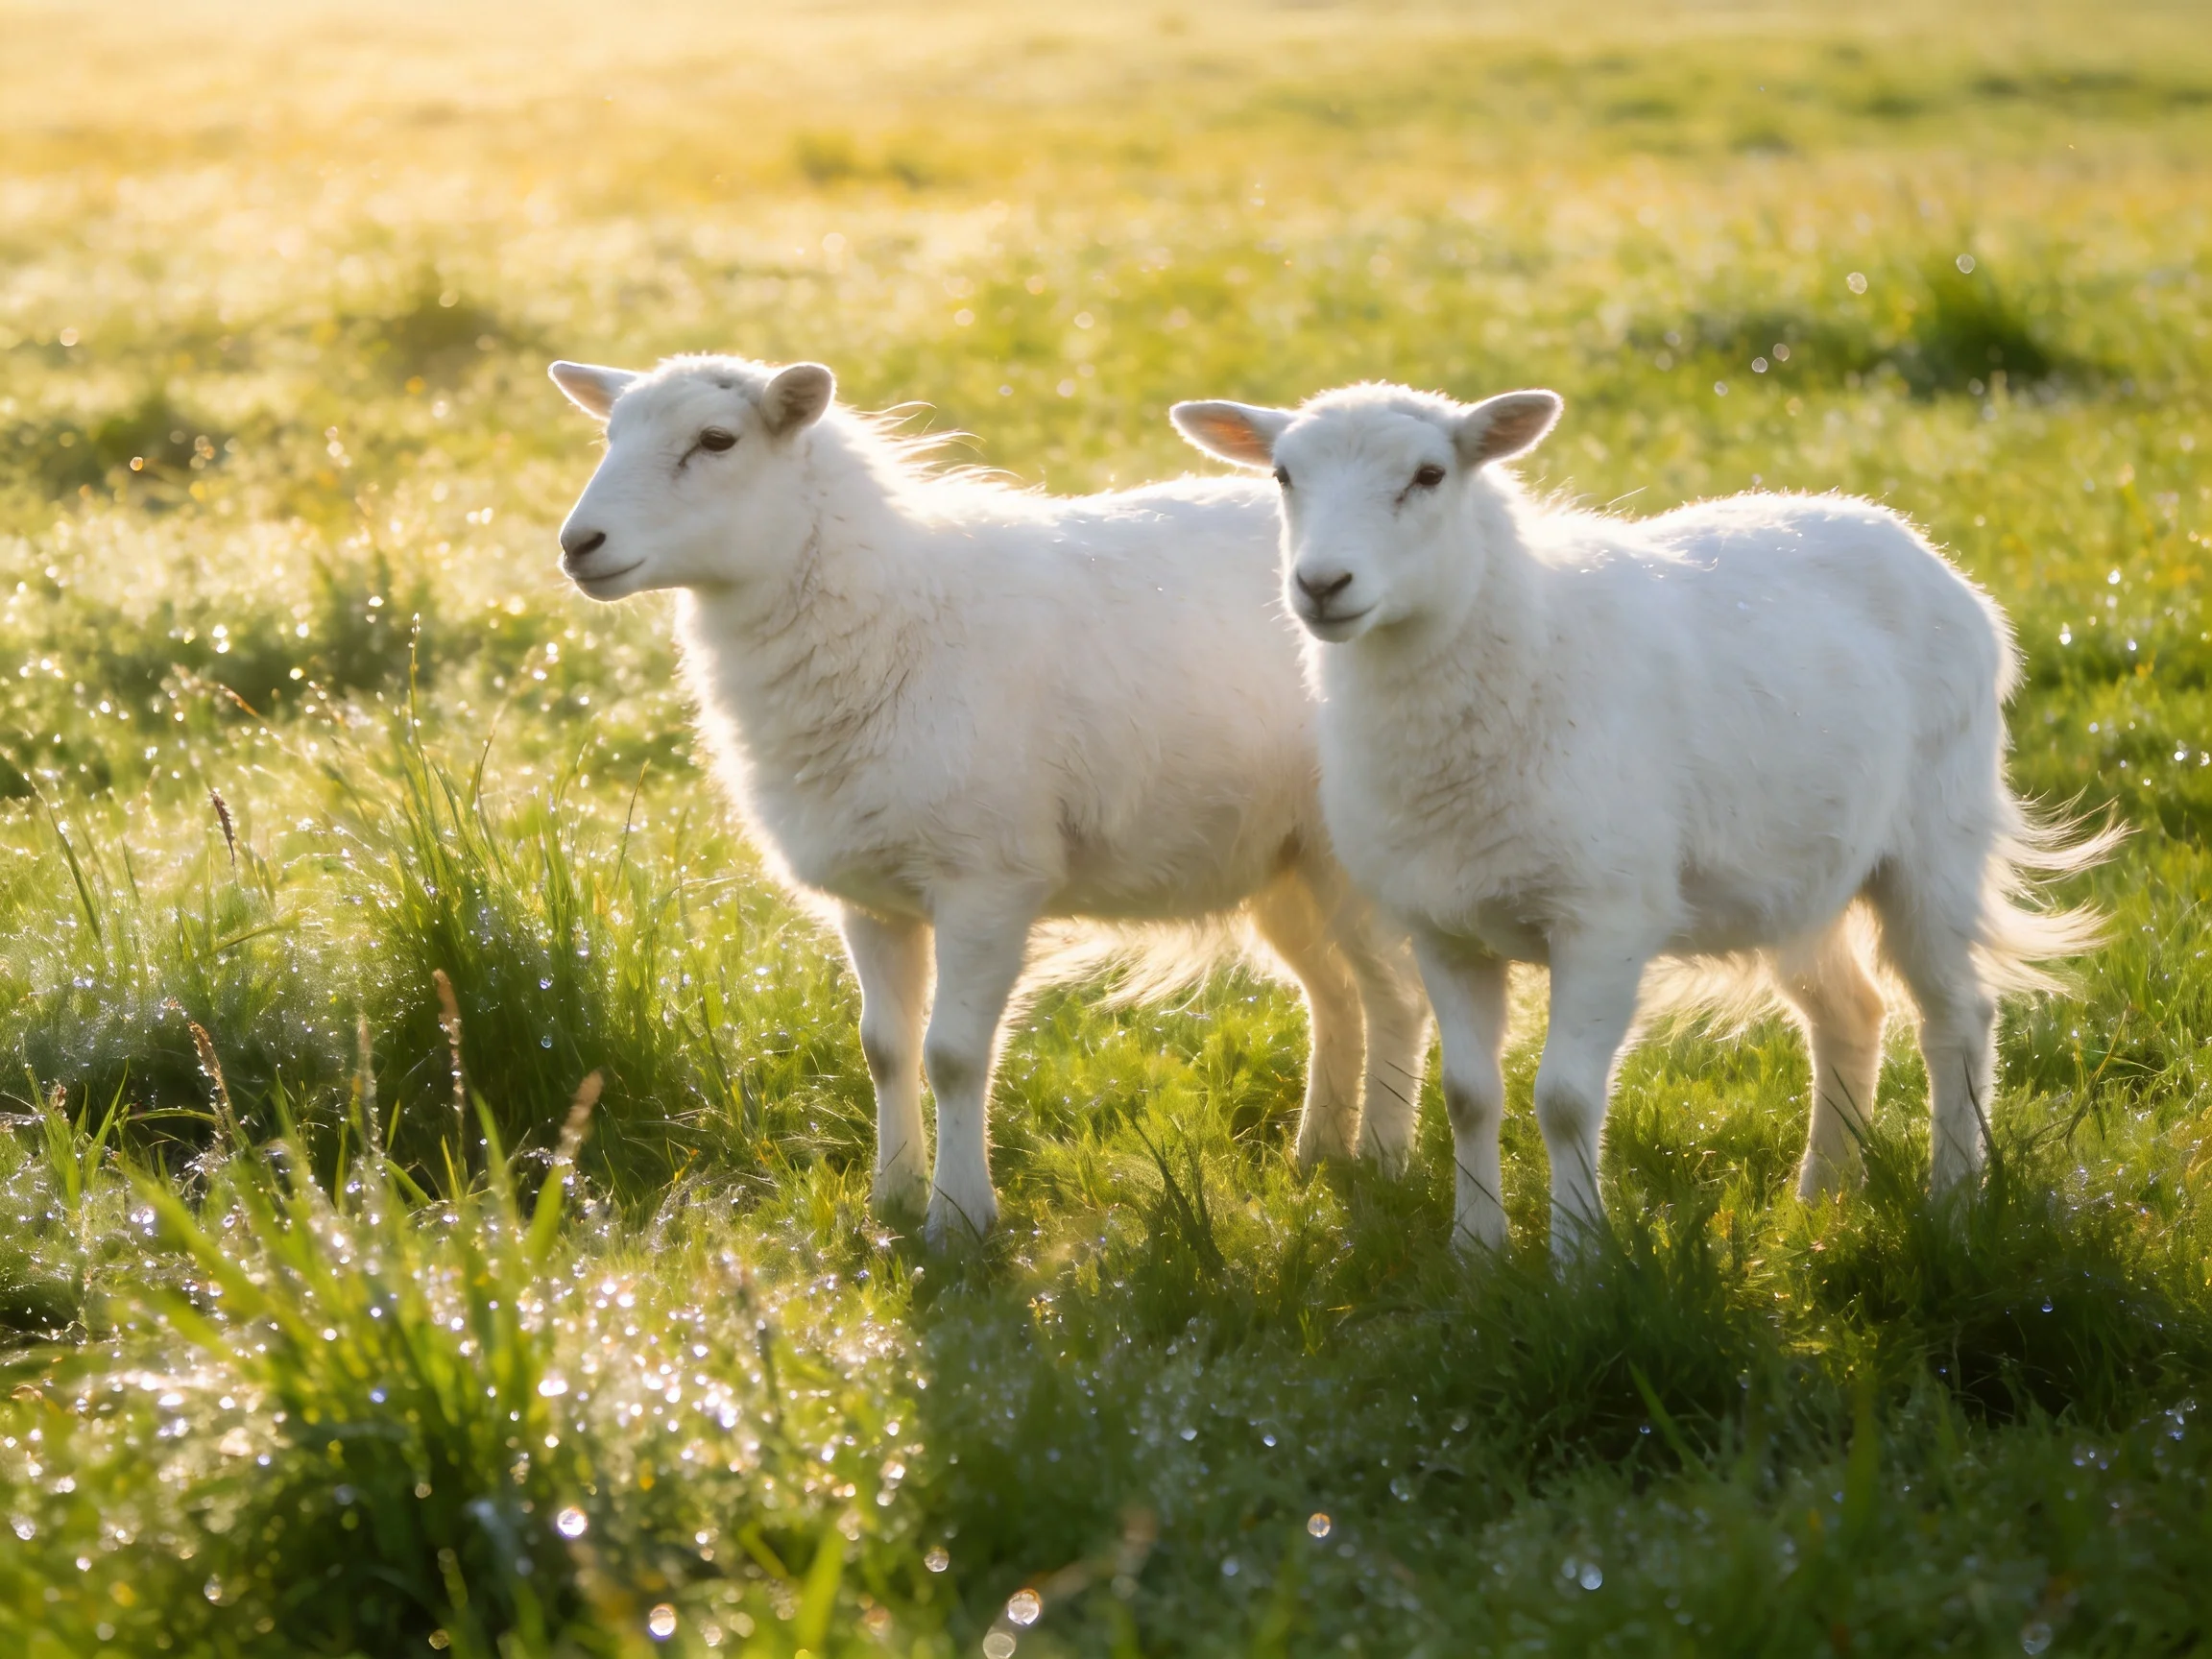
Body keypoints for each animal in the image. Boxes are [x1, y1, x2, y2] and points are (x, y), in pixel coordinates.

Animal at [547, 354, 1430, 1245]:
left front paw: (959, 1220)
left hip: (1352, 856)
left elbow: (954, 1055)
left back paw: (1383, 1169)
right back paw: (1319, 1157)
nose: (578, 544)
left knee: (1394, 1000)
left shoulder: (989, 883)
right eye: (609, 434)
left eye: (717, 440)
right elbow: (885, 1047)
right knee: (1338, 999)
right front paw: (891, 1201)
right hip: (1286, 861)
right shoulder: (873, 897)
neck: (894, 614)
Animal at [1171, 381, 2110, 1258]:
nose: (1321, 585)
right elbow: (1469, 1096)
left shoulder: (1605, 918)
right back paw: (1820, 1200)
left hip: (1935, 839)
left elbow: (1564, 1100)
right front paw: (1476, 1255)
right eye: (1284, 476)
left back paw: (1953, 1204)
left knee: (1958, 1017)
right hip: (1799, 871)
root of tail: (1911, 540)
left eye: (1430, 475)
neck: (1524, 643)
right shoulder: (1444, 925)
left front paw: (1580, 1261)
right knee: (1852, 1011)